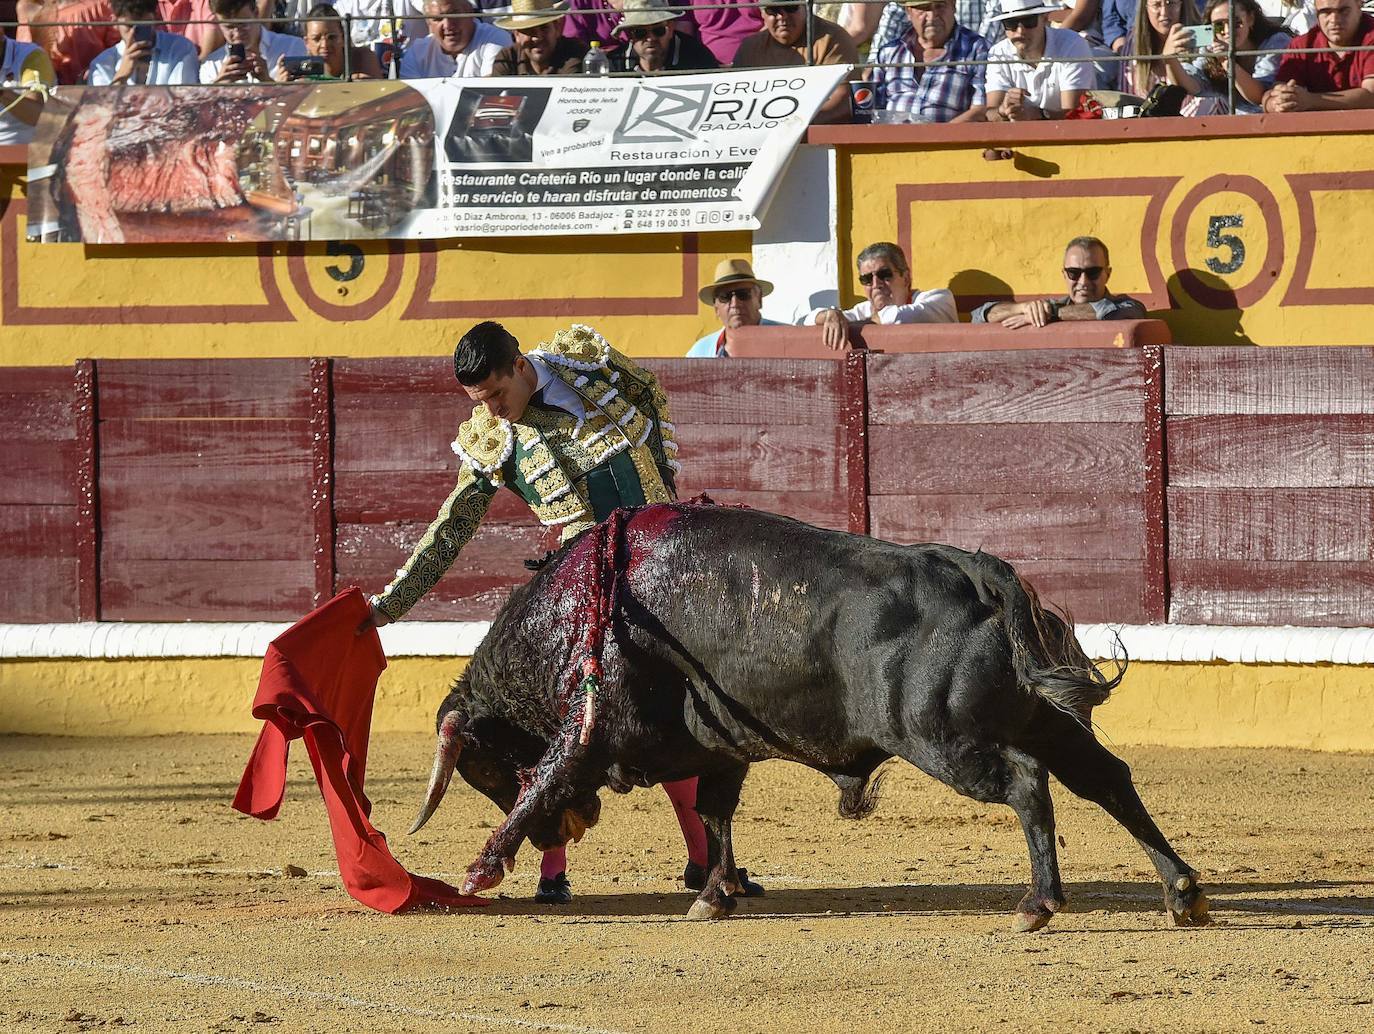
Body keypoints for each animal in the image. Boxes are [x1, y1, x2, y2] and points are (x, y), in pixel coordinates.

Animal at [412, 505, 1209, 933]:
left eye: (481, 768)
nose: (567, 834)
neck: (579, 613)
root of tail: (976, 572)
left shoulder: (594, 725)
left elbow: (547, 777)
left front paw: (480, 869)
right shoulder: (723, 748)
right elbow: (716, 814)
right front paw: (716, 894)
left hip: (945, 739)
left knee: (1026, 786)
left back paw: (1038, 903)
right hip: (1040, 719)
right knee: (1107, 778)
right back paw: (1182, 892)